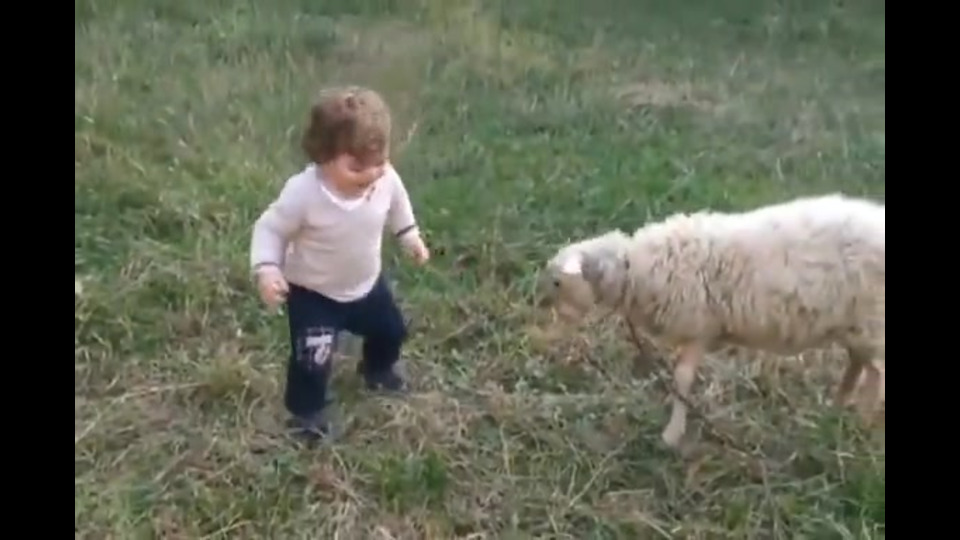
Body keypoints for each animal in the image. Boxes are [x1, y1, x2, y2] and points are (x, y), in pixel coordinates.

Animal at [537, 193, 885, 448]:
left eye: (557, 282)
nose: (545, 311)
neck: (632, 270)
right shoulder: (703, 330)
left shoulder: (697, 325)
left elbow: (682, 378)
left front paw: (671, 435)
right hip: (856, 327)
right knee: (858, 365)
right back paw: (837, 409)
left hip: (873, 322)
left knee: (876, 374)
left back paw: (865, 424)